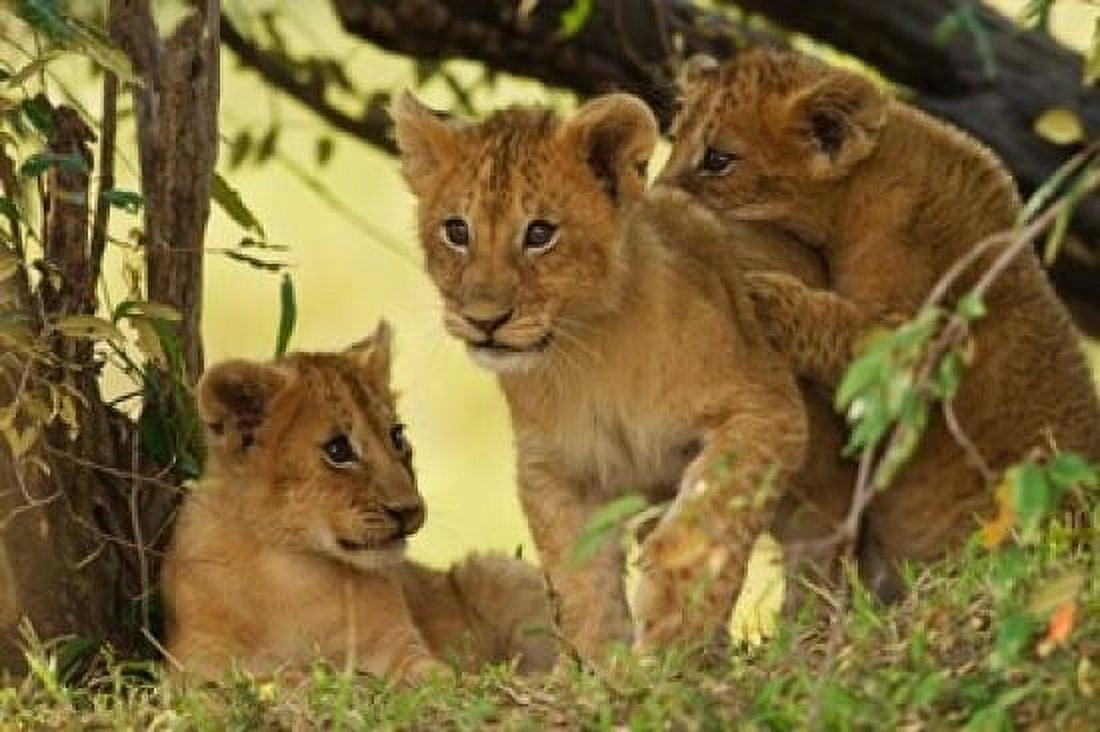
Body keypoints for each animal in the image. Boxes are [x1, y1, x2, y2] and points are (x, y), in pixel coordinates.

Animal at [160, 323, 557, 683]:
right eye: (338, 450)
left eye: (397, 437)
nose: (409, 510)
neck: (296, 570)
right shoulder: (195, 659)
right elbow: (271, 678)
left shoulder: (402, 648)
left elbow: (438, 679)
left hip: (498, 571)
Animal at [393, 92, 857, 657]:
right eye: (457, 231)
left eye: (540, 234)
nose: (484, 320)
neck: (591, 352)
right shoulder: (554, 466)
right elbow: (578, 576)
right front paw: (602, 666)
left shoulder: (765, 405)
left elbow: (707, 519)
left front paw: (672, 635)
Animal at [660, 48, 1100, 589]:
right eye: (675, 138)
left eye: (718, 159)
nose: (655, 193)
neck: (859, 187)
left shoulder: (929, 342)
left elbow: (842, 329)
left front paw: (761, 295)